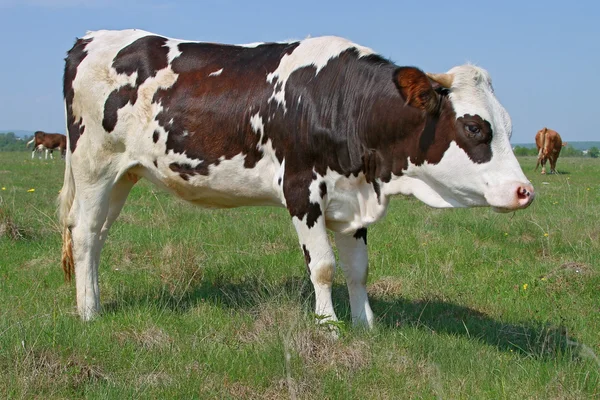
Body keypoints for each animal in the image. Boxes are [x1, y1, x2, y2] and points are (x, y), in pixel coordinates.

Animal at [57, 30, 536, 324]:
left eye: (509, 126)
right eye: (474, 127)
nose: (525, 191)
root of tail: (91, 38)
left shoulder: (351, 199)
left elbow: (358, 270)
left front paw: (366, 325)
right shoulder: (301, 190)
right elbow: (322, 266)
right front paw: (329, 326)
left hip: (125, 174)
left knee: (97, 234)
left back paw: (92, 300)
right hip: (94, 165)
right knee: (84, 234)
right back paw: (88, 313)